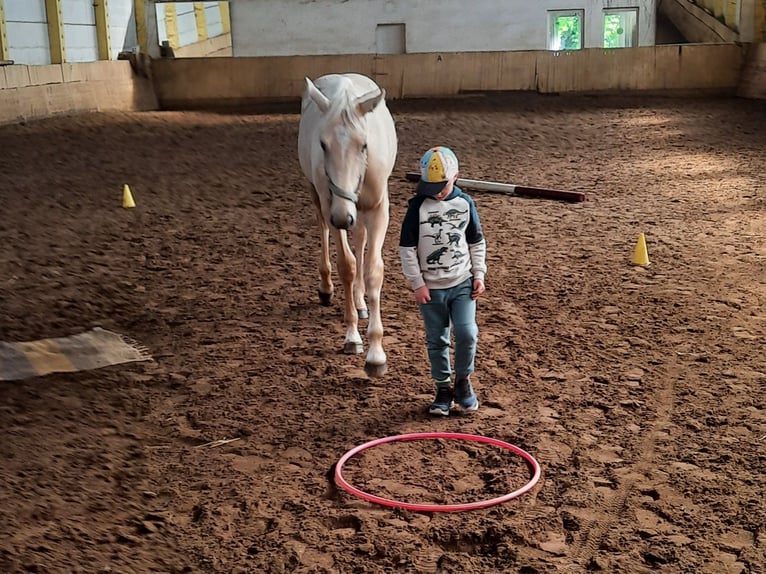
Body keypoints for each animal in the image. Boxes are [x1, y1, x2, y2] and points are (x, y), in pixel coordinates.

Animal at [298, 73, 397, 378]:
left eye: (364, 145)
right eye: (323, 144)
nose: (343, 217)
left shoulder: (378, 210)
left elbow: (373, 270)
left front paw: (376, 354)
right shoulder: (334, 208)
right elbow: (348, 266)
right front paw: (353, 336)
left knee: (361, 239)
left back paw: (361, 301)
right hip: (318, 196)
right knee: (323, 229)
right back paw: (327, 288)